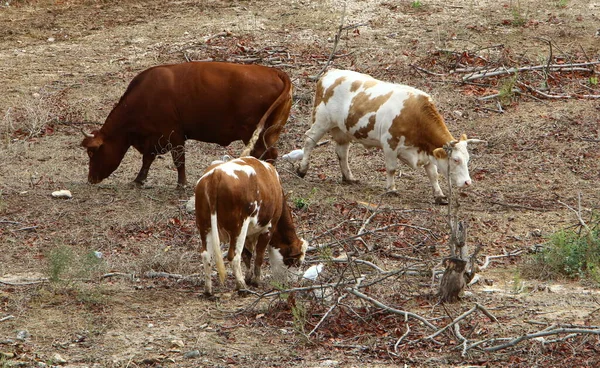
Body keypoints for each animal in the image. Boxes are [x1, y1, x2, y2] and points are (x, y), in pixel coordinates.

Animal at [82, 61, 292, 187]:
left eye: (92, 152)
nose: (90, 179)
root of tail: (275, 72)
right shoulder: (154, 139)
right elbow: (147, 159)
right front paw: (139, 180)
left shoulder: (174, 135)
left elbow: (179, 160)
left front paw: (181, 184)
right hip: (267, 134)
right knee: (269, 154)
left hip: (254, 134)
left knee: (267, 155)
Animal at [196, 157, 310, 294]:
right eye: (297, 262)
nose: (294, 283)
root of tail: (216, 174)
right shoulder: (268, 227)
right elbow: (259, 255)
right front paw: (256, 281)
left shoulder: (249, 233)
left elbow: (247, 255)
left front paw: (249, 277)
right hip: (238, 228)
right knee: (234, 256)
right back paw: (241, 287)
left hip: (204, 226)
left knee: (206, 255)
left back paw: (208, 290)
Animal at [298, 69, 486, 204]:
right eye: (455, 160)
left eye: (467, 159)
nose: (468, 182)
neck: (415, 116)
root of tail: (329, 73)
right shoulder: (389, 144)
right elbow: (391, 169)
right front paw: (391, 189)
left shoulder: (427, 151)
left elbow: (433, 174)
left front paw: (439, 196)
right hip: (321, 121)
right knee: (309, 140)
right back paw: (302, 169)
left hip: (343, 130)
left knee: (342, 152)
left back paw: (349, 177)